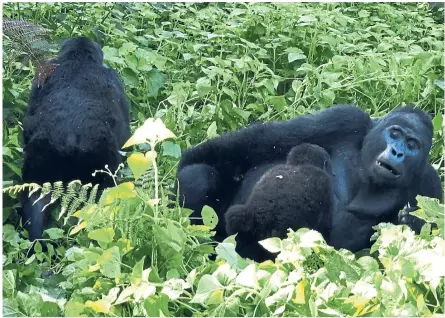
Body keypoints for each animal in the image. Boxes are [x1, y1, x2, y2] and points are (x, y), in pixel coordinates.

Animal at [176, 104, 440, 258]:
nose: (398, 152)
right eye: (394, 133)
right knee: (199, 176)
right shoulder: (345, 118)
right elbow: (257, 142)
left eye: (412, 145)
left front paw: (410, 223)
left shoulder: (429, 184)